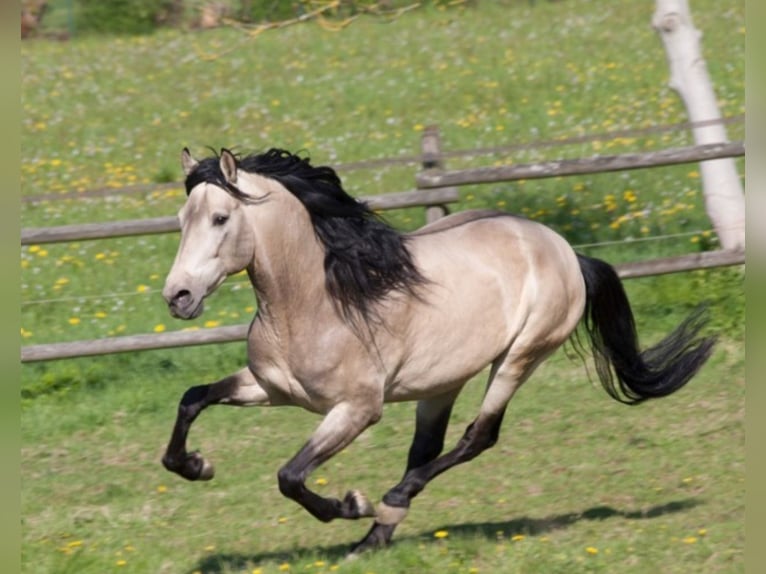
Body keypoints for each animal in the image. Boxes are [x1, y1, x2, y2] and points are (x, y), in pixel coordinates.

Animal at [159, 146, 716, 556]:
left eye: (220, 217)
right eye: (182, 219)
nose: (177, 296)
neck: (316, 302)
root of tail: (564, 249)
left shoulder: (357, 409)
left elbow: (290, 476)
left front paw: (353, 504)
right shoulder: (269, 388)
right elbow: (191, 398)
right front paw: (197, 466)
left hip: (520, 357)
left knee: (478, 437)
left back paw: (386, 507)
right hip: (443, 380)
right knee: (425, 449)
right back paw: (376, 537)